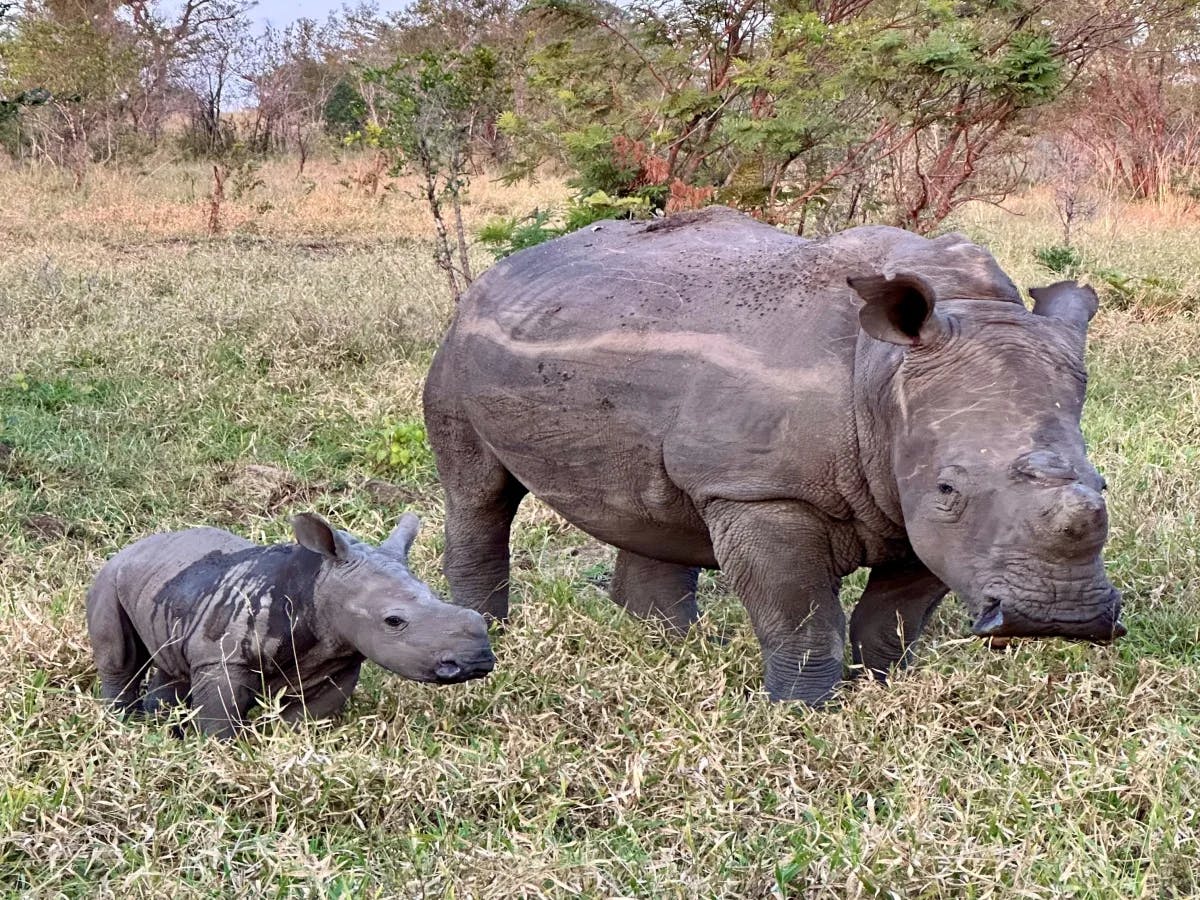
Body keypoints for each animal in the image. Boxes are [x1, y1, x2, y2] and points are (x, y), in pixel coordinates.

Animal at [87, 511, 494, 734]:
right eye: (394, 621)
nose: (479, 659)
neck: (319, 587)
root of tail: (137, 545)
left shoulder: (339, 659)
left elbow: (305, 718)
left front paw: (278, 742)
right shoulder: (223, 658)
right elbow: (220, 717)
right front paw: (220, 750)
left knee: (173, 661)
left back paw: (162, 723)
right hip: (110, 574)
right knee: (120, 657)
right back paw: (125, 724)